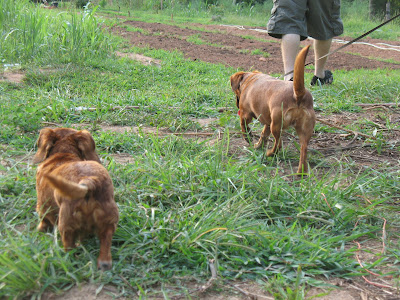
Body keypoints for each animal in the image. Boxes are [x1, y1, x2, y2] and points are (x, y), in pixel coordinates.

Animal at [32, 127, 119, 270]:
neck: (64, 154)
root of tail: (89, 181)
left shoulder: (42, 206)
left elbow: (43, 220)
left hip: (66, 224)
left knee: (69, 247)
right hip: (109, 220)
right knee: (105, 244)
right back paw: (103, 263)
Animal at [231, 44, 316, 173]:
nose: (236, 103)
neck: (250, 78)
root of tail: (298, 94)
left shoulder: (245, 115)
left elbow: (244, 126)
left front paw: (248, 137)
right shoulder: (267, 121)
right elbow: (263, 134)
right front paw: (258, 145)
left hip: (276, 126)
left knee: (278, 144)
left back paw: (270, 153)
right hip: (304, 131)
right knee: (304, 149)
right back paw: (302, 172)